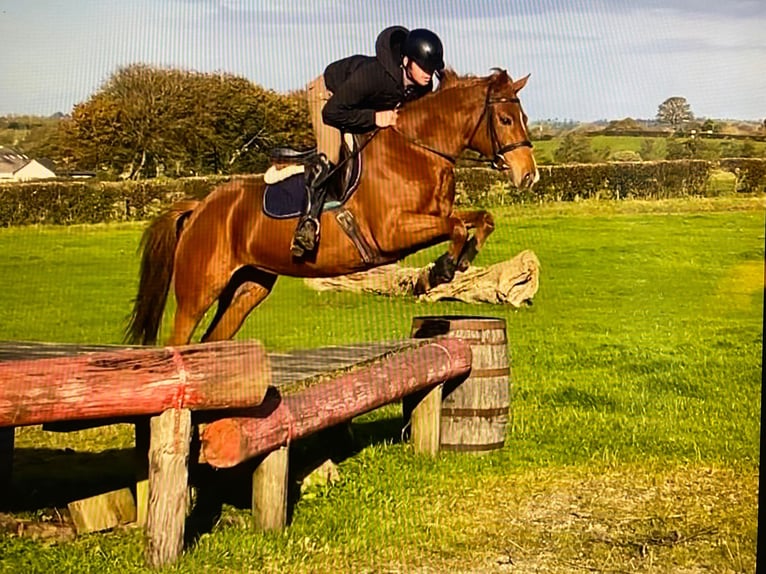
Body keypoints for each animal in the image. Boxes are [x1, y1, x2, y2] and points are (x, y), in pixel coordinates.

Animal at [126, 67, 536, 346]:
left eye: (525, 118)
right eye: (504, 119)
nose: (529, 175)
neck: (416, 150)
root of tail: (200, 207)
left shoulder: (430, 217)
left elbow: (479, 218)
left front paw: (460, 261)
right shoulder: (392, 233)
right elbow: (455, 226)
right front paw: (441, 270)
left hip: (248, 286)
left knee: (213, 342)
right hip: (198, 292)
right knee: (179, 343)